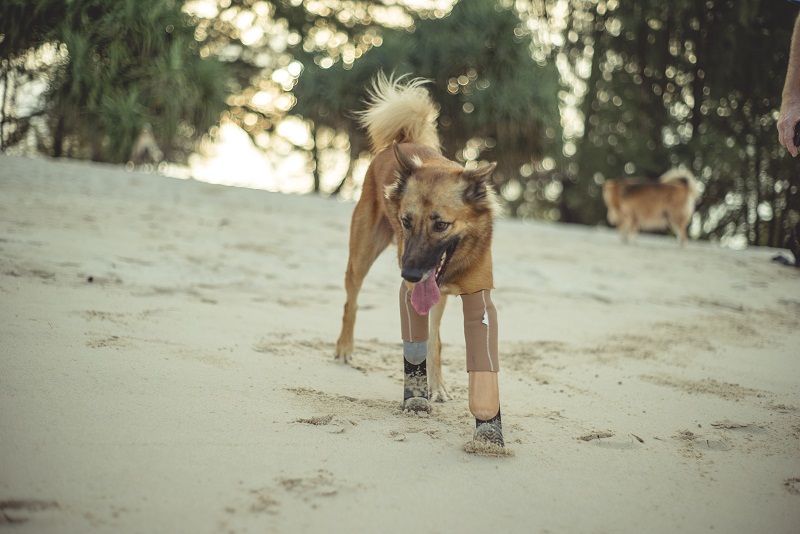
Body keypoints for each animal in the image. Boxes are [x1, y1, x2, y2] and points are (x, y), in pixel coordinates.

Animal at [334, 72, 504, 448]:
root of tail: (403, 144)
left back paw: (438, 385)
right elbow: (415, 347)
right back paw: (344, 348)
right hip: (361, 257)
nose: (409, 274)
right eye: (405, 221)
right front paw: (416, 397)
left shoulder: (476, 294)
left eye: (441, 225)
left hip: (435, 299)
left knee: (435, 338)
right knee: (351, 302)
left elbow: (466, 351)